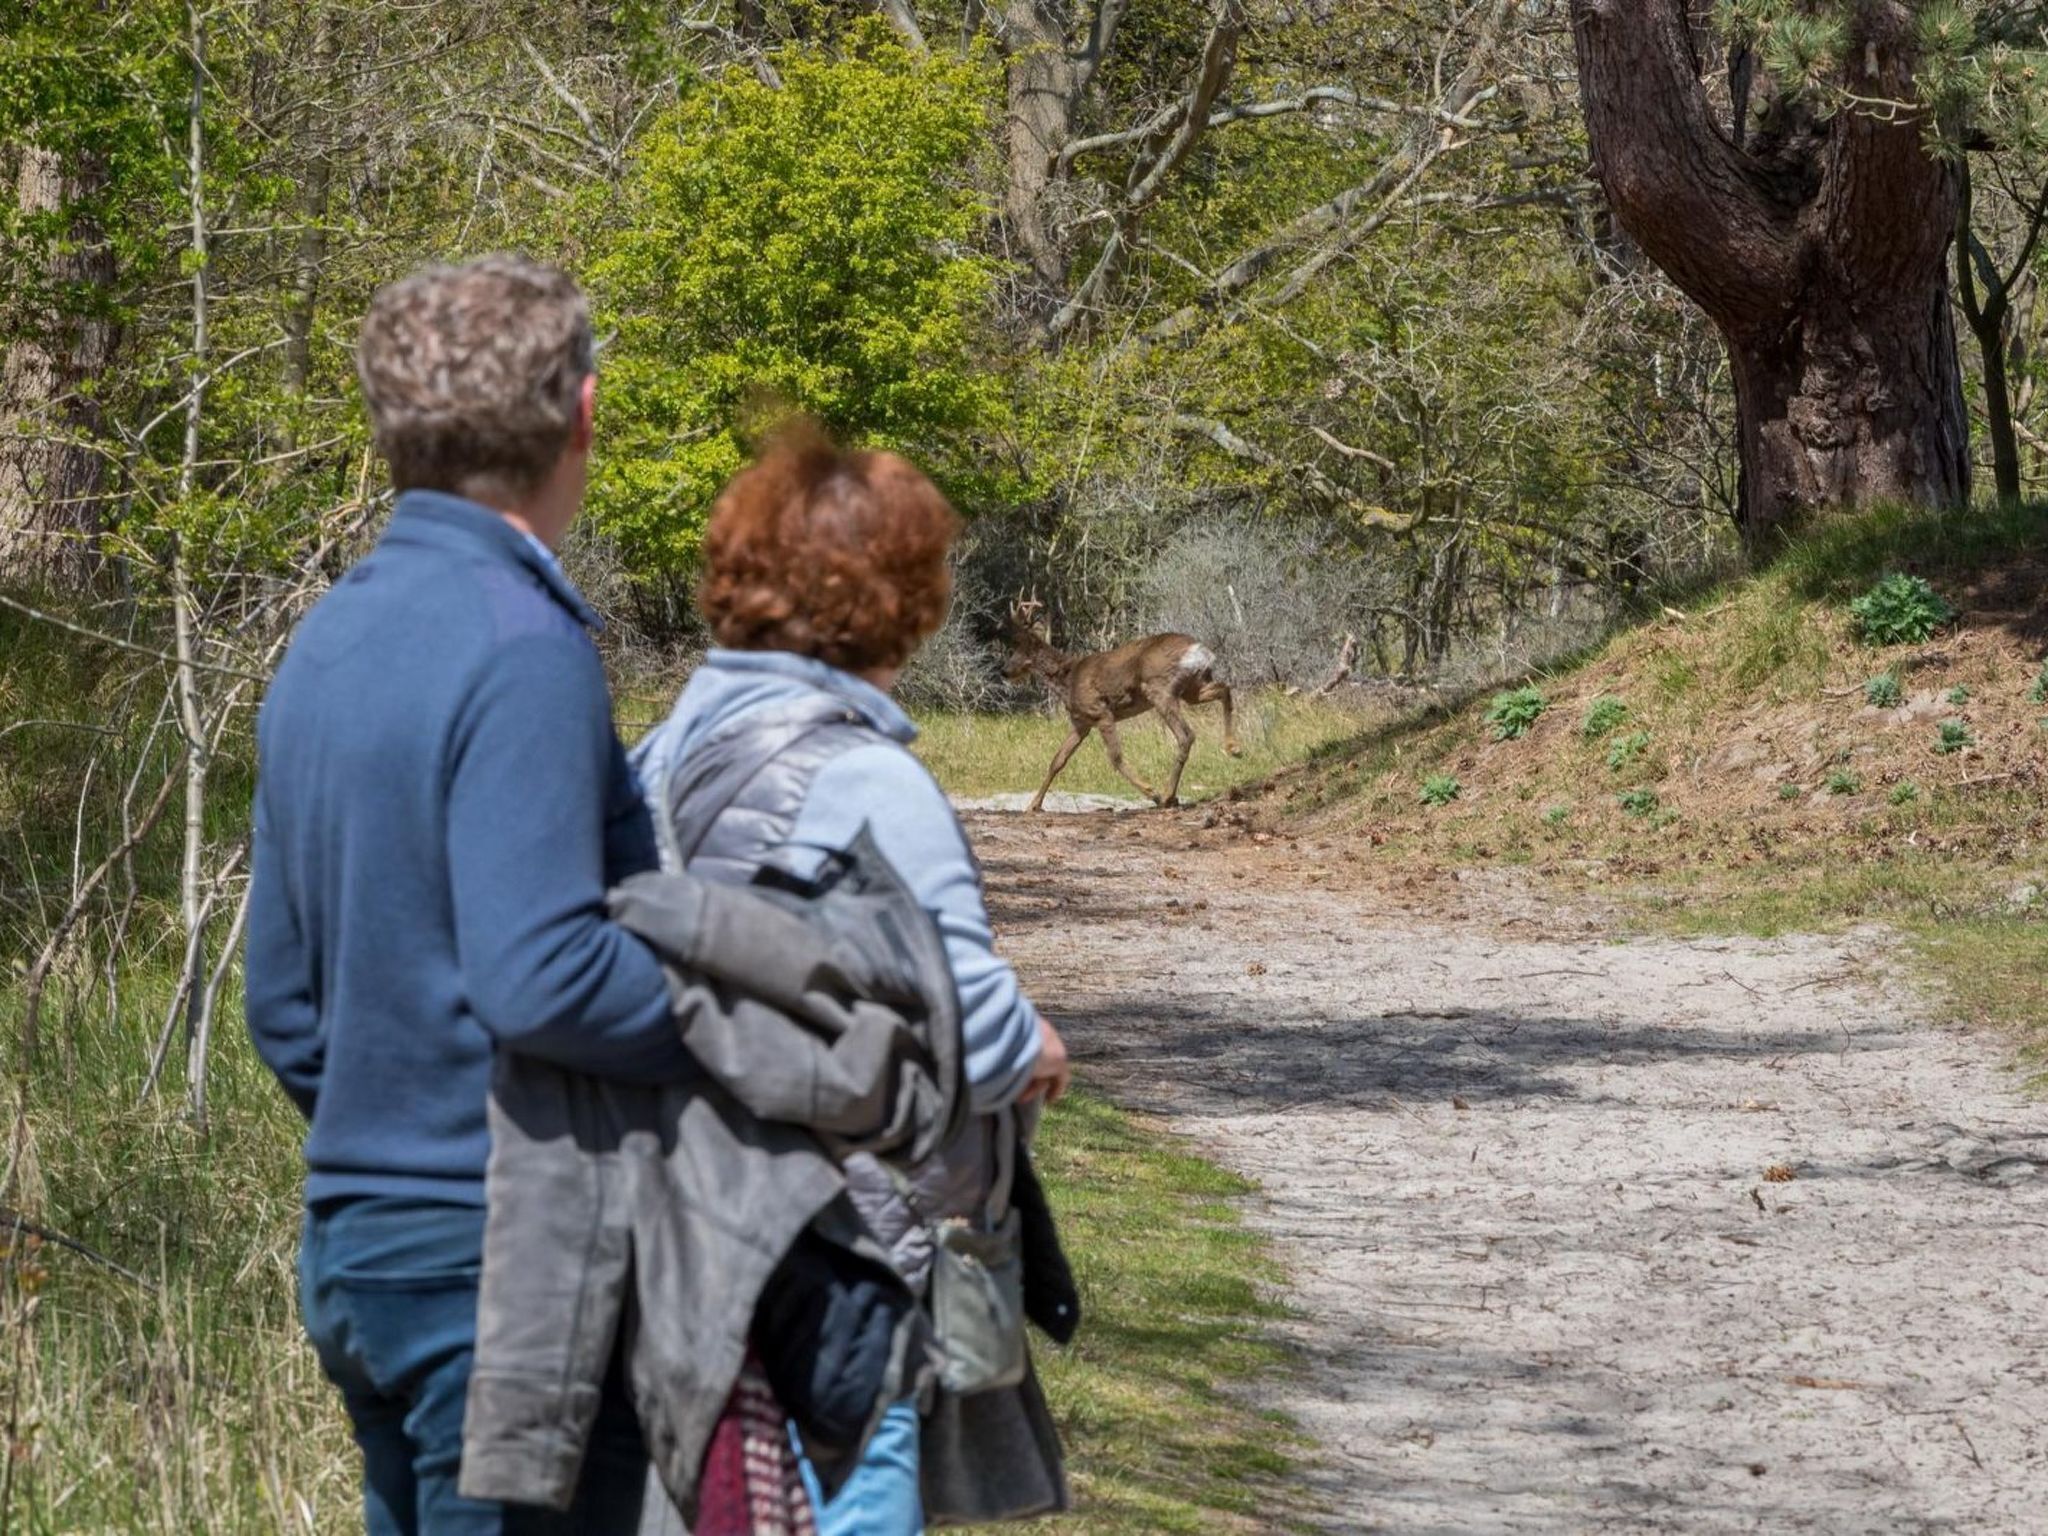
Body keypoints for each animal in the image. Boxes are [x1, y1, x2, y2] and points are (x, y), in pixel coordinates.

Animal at [1003, 597, 1240, 812]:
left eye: (1021, 647)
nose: (1004, 671)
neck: (1068, 680)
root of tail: (1200, 651)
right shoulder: (1082, 722)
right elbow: (1058, 760)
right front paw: (1033, 805)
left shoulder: (1101, 712)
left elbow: (1115, 757)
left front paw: (1153, 793)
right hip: (1193, 688)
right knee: (1225, 689)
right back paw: (1233, 747)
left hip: (1160, 689)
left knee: (1186, 735)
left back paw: (1167, 795)